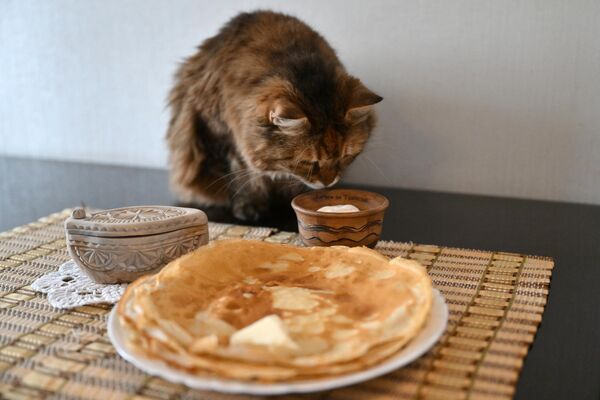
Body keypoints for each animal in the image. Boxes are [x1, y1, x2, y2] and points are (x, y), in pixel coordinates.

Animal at [168, 10, 384, 222]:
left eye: (345, 156)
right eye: (308, 163)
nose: (328, 183)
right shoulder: (220, 135)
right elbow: (241, 177)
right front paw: (248, 207)